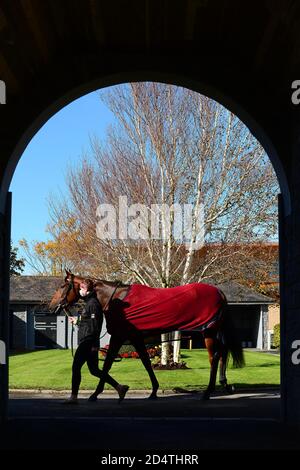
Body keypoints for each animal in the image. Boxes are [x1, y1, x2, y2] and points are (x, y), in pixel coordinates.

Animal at [49, 272, 245, 400]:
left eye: (62, 286)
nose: (51, 307)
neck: (116, 298)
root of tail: (219, 292)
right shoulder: (135, 338)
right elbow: (145, 361)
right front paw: (153, 391)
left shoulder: (119, 337)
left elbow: (107, 365)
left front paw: (96, 393)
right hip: (214, 330)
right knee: (223, 353)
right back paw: (225, 384)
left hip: (208, 331)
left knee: (215, 357)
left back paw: (208, 391)